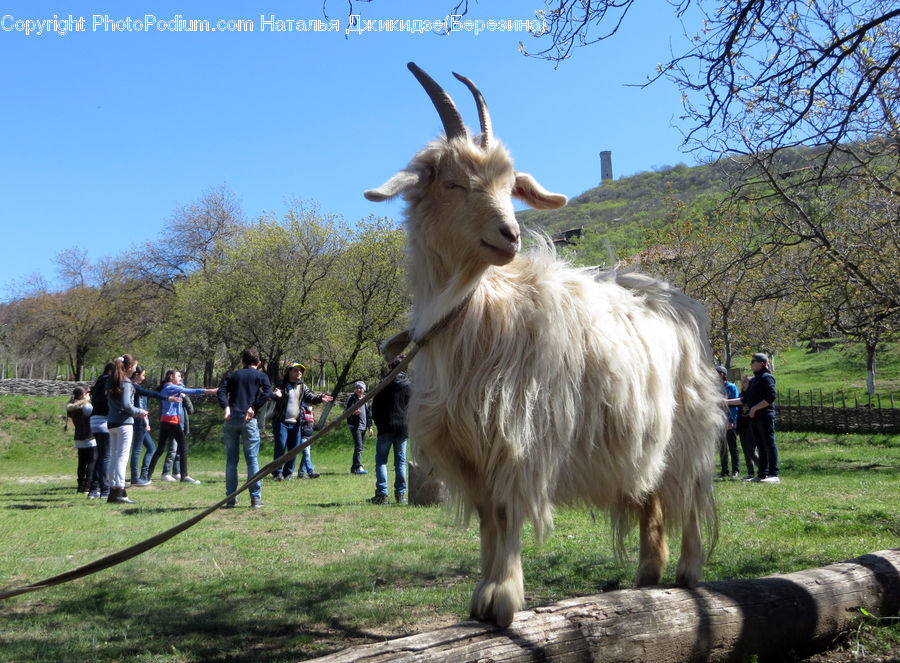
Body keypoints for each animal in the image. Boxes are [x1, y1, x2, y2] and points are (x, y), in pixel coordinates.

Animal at [362, 63, 720, 628]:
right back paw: (648, 573)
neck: (480, 311)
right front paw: (482, 596)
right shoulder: (467, 446)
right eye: (452, 182)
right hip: (644, 438)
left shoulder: (517, 436)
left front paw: (504, 599)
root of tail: (677, 301)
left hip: (690, 430)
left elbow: (507, 512)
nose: (509, 234)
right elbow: (488, 518)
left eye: (510, 186)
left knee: (688, 496)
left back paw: (688, 571)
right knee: (652, 497)